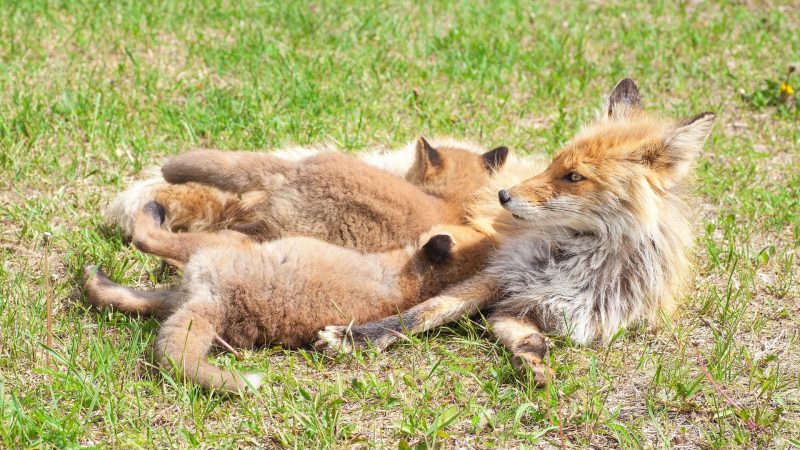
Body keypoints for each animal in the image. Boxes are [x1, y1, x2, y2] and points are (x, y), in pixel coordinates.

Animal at [83, 202, 494, 392]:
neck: (413, 279)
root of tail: (221, 307)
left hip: (219, 247)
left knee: (147, 239)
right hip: (185, 294)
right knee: (137, 299)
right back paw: (96, 279)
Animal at [316, 78, 716, 384]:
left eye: (574, 177)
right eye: (552, 163)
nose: (503, 195)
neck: (578, 262)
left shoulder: (537, 307)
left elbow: (530, 342)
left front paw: (536, 368)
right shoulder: (498, 274)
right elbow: (422, 313)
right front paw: (355, 337)